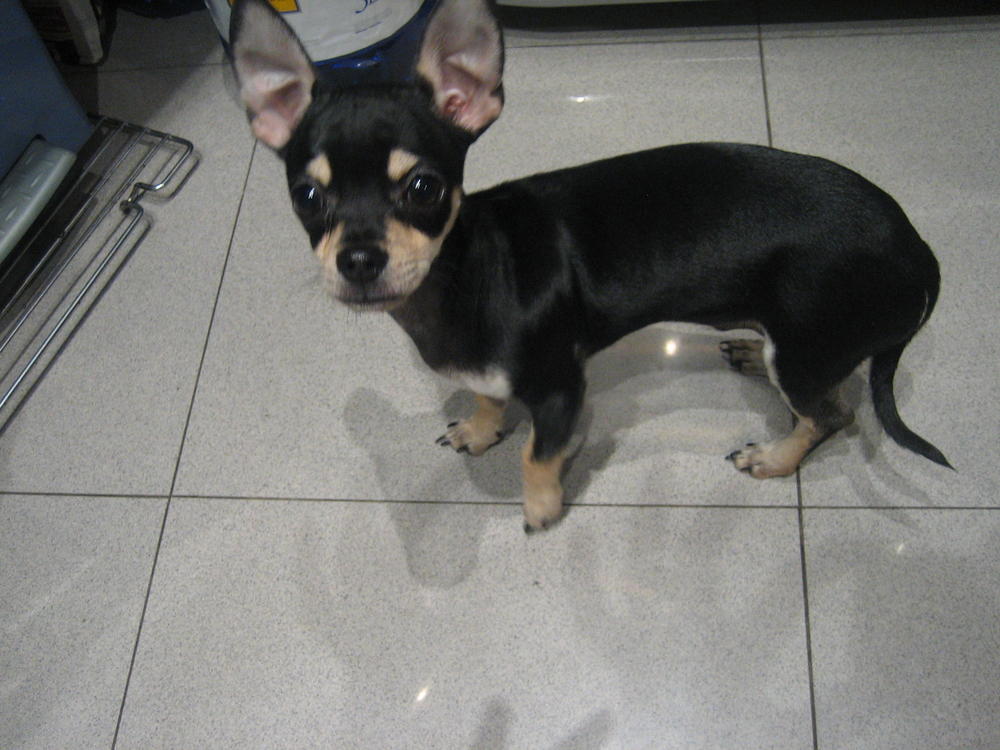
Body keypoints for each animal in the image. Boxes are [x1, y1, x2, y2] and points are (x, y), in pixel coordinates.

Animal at [229, 0, 951, 531]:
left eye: (423, 188)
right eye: (308, 196)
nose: (358, 258)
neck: (463, 279)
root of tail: (918, 250)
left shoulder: (561, 389)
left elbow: (535, 453)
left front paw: (542, 508)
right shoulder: (491, 372)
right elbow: (489, 398)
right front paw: (481, 430)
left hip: (805, 353)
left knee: (831, 414)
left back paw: (774, 458)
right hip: (803, 347)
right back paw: (749, 352)